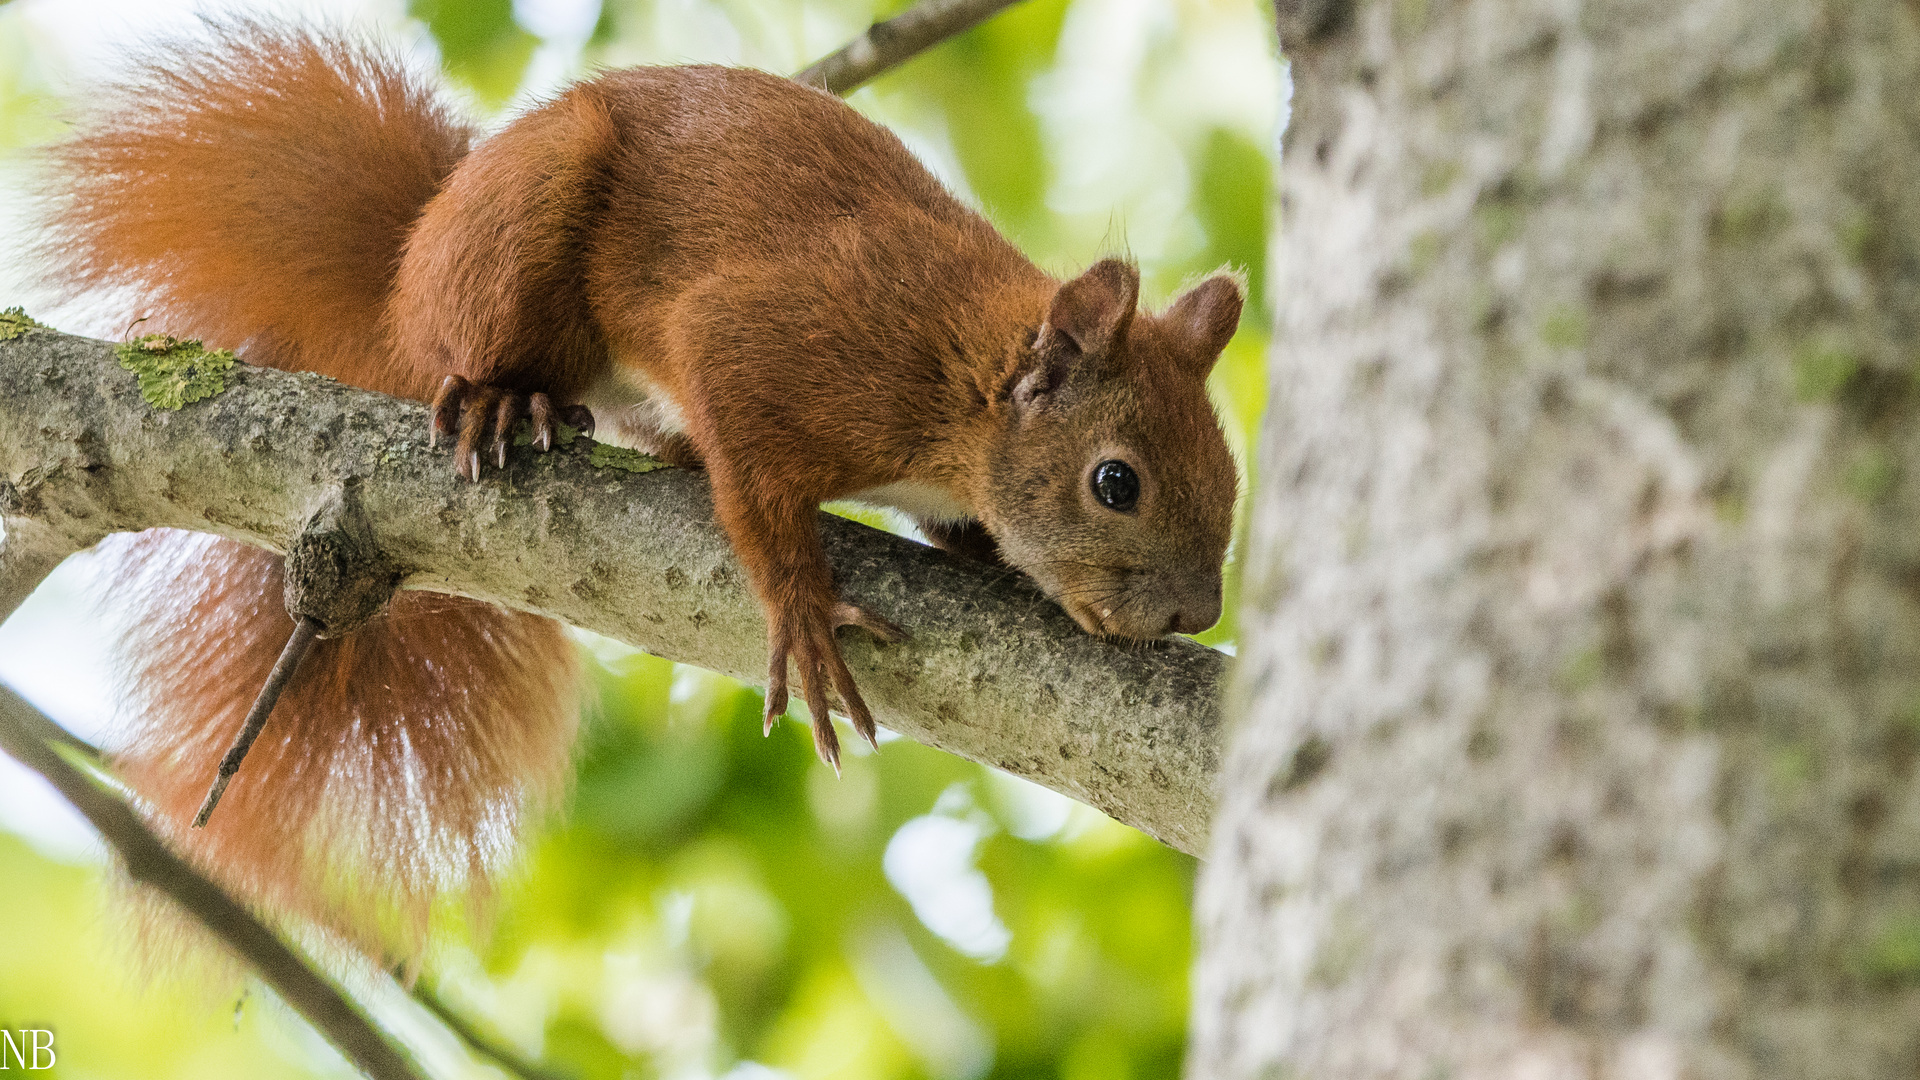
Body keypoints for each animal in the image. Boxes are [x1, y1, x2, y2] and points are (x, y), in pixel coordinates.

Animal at [45, 23, 1244, 941]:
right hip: (521, 229)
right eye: (1117, 482)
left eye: (1232, 476)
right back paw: (504, 397)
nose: (1198, 611)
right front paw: (803, 611)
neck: (967, 388)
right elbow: (755, 487)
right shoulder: (786, 346)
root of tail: (408, 265)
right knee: (466, 347)